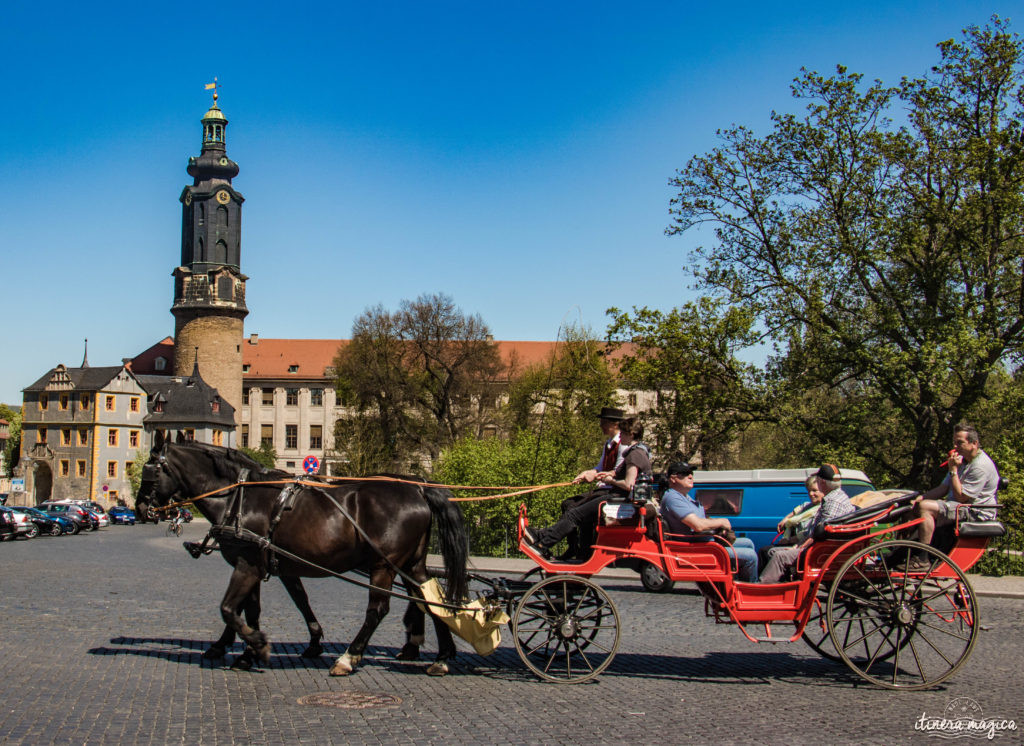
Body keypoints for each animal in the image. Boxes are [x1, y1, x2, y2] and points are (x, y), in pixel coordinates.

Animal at [138, 429, 468, 675]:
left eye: (149, 471)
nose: (141, 508)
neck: (238, 496)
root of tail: (418, 489)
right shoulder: (261, 565)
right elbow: (258, 609)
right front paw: (245, 651)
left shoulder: (248, 565)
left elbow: (230, 608)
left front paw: (257, 645)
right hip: (411, 564)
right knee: (432, 599)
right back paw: (441, 657)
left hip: (384, 565)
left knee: (379, 609)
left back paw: (349, 658)